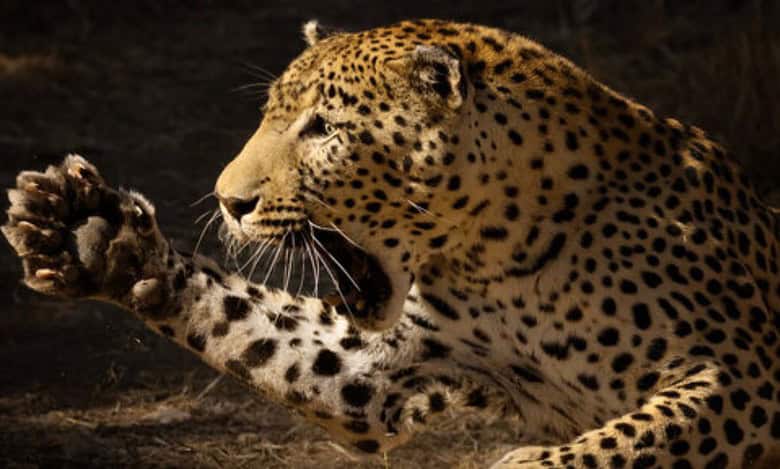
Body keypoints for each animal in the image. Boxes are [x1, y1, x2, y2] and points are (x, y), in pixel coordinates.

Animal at [5, 19, 780, 468]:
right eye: (271, 114)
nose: (228, 200)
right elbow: (243, 320)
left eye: (323, 128)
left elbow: (627, 438)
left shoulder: (748, 373)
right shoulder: (378, 369)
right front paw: (92, 235)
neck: (496, 257)